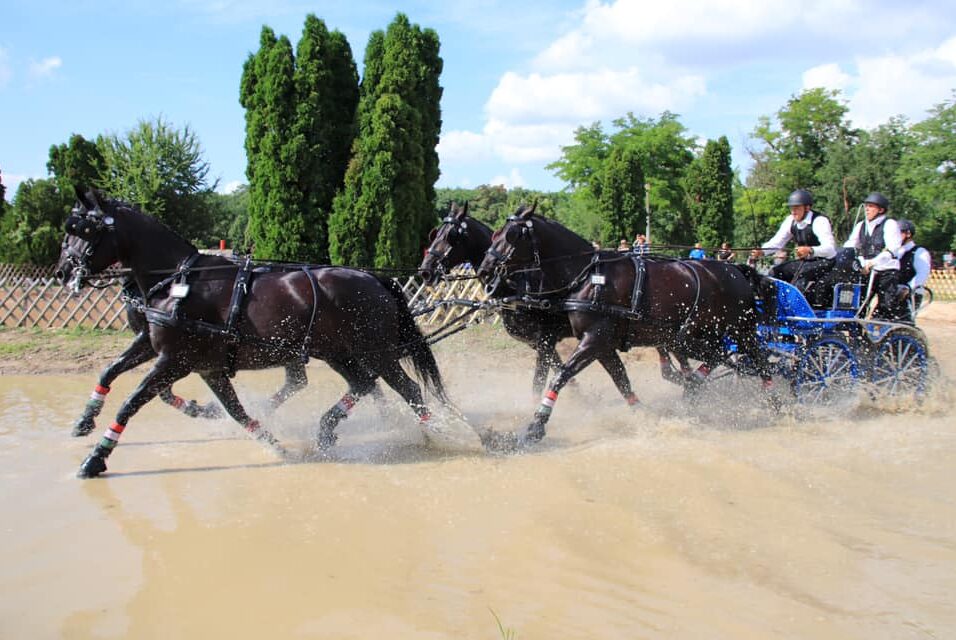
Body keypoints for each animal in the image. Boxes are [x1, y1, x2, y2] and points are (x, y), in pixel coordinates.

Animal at [58, 190, 450, 476]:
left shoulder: (174, 360)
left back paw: (438, 434)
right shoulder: (200, 365)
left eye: (82, 230)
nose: (63, 272)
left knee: (407, 389)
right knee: (364, 383)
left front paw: (96, 458)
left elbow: (132, 402)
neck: (179, 281)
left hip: (377, 352)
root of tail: (374, 278)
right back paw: (327, 429)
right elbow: (114, 372)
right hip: (338, 352)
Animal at [474, 208, 772, 448]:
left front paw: (535, 426)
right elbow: (621, 380)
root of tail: (736, 270)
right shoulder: (601, 345)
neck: (588, 276)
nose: (485, 270)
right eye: (495, 234)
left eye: (512, 235)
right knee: (722, 357)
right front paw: (643, 415)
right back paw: (696, 386)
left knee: (757, 360)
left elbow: (561, 375)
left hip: (737, 332)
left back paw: (771, 401)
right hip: (694, 338)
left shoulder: (594, 339)